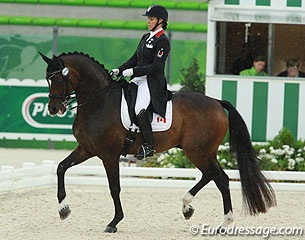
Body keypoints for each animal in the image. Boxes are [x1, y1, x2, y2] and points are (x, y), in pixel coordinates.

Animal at [39, 52, 274, 232]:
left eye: (58, 79)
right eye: (47, 79)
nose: (53, 108)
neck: (99, 101)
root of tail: (216, 102)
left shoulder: (109, 155)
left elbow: (114, 187)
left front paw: (114, 222)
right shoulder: (86, 149)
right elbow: (61, 168)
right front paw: (63, 209)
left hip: (197, 151)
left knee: (218, 177)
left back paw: (220, 219)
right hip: (205, 151)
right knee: (216, 177)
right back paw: (194, 211)